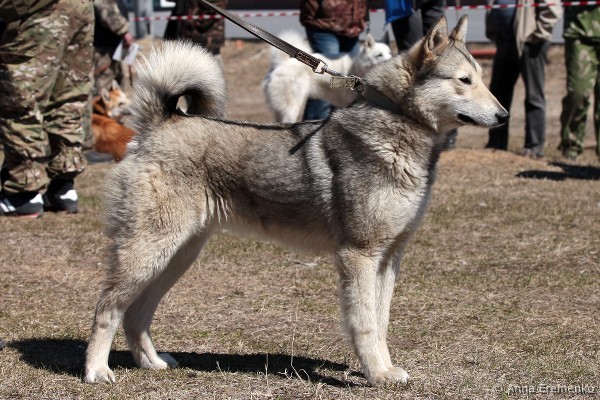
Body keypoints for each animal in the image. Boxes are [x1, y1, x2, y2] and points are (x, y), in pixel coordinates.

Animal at [263, 31, 392, 122]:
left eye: (389, 53)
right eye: (379, 55)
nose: (391, 60)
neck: (357, 66)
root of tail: (280, 63)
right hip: (291, 108)